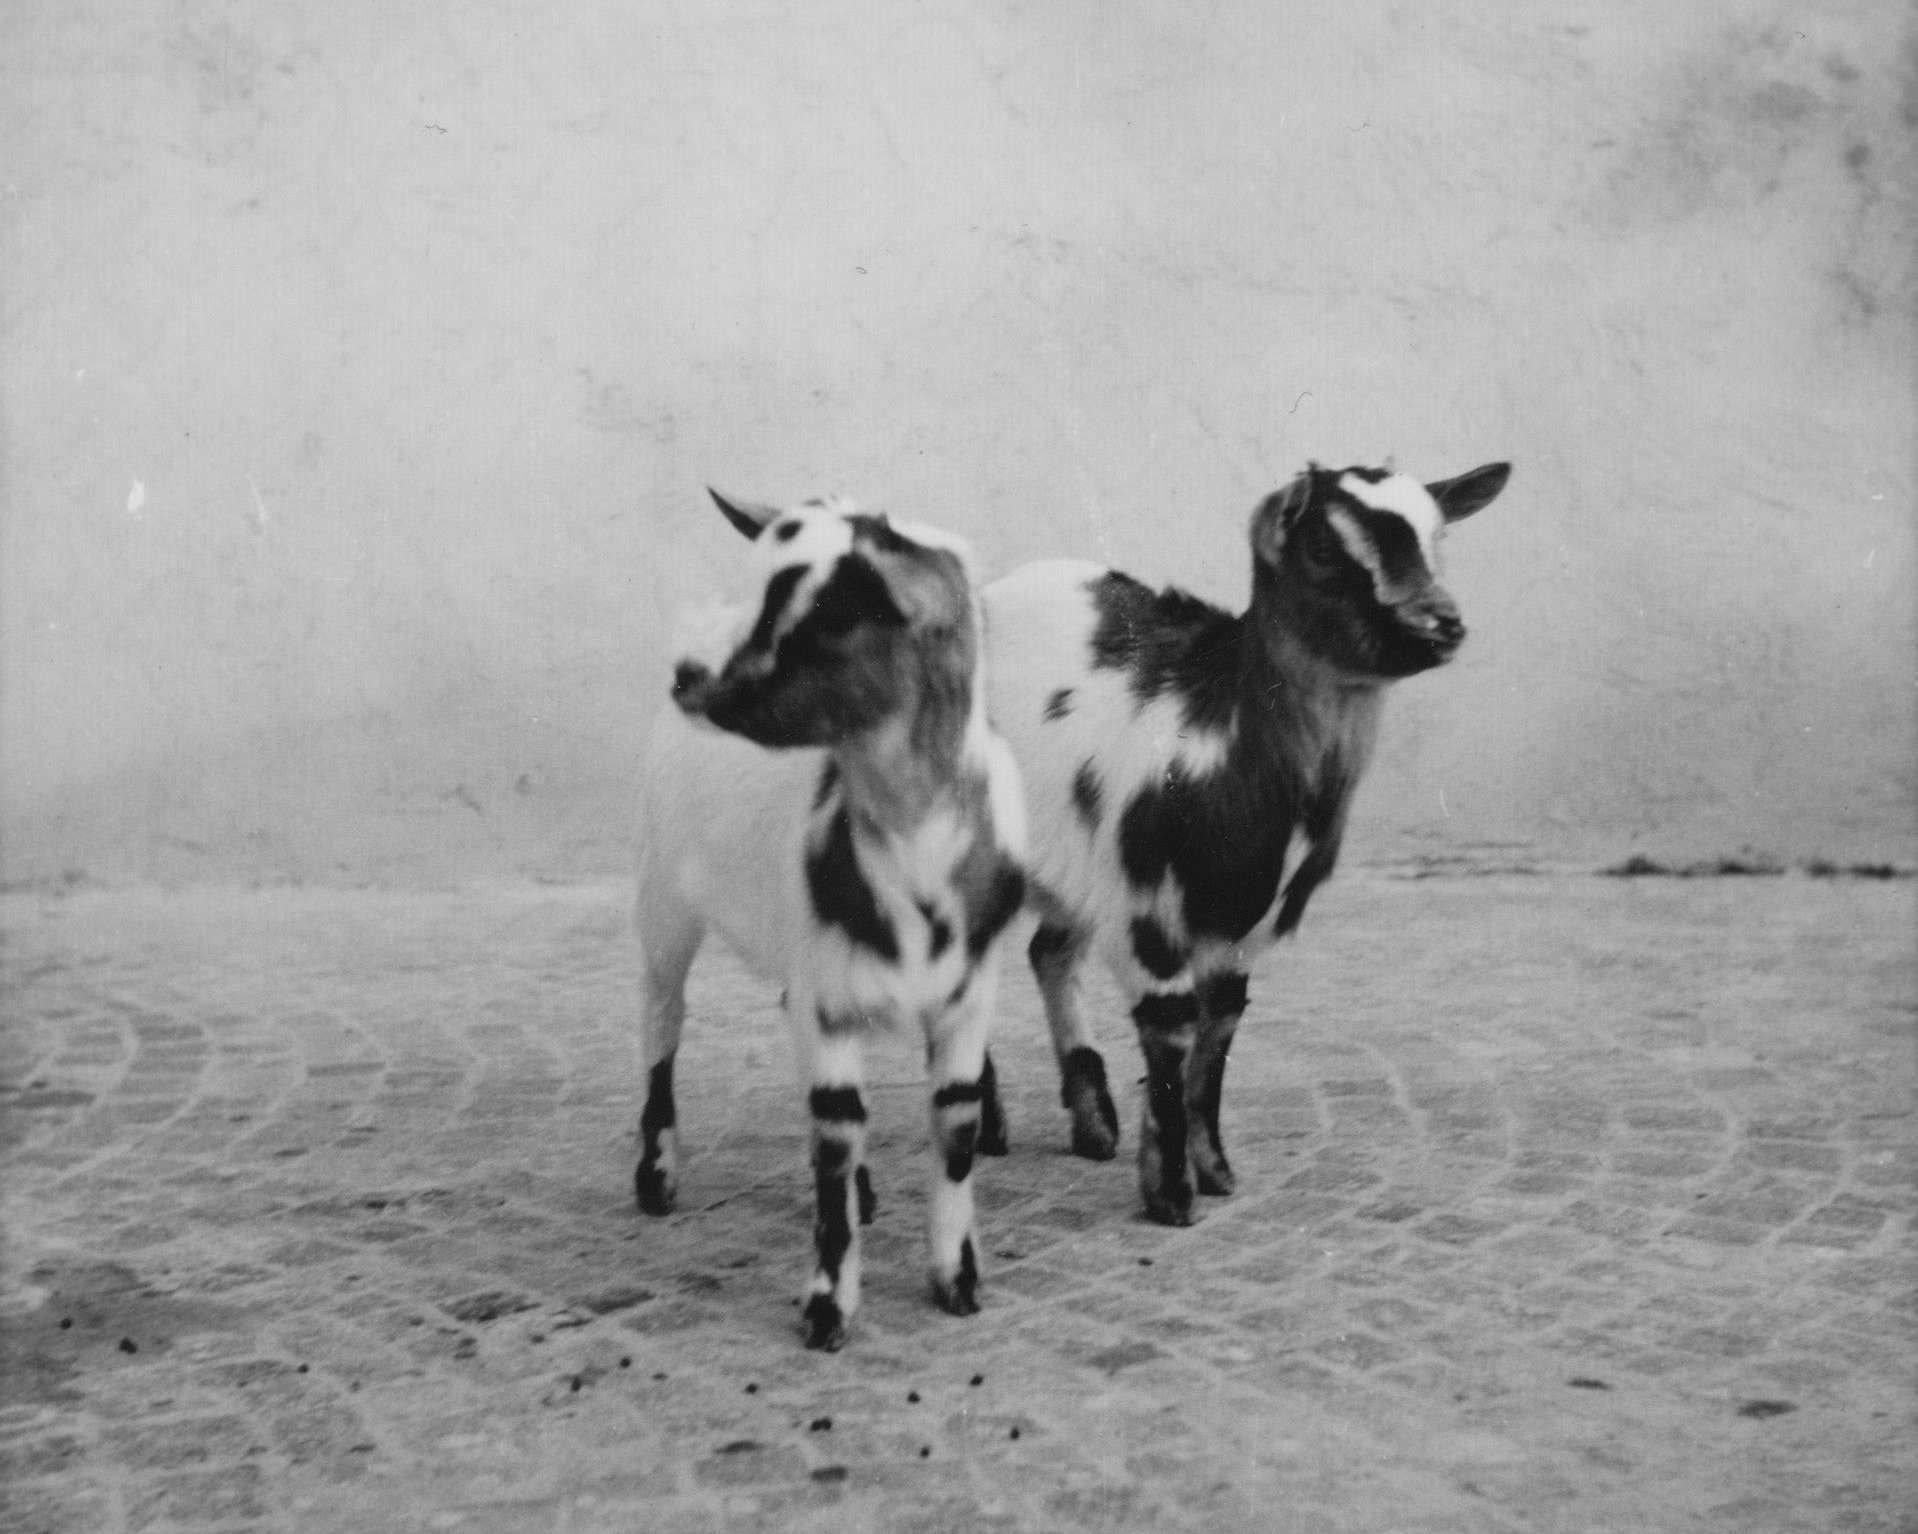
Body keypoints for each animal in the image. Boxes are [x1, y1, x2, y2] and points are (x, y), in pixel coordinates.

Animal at [634, 491, 1026, 1349]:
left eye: (824, 617)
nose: (684, 676)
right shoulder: (829, 995)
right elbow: (835, 1144)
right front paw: (827, 1308)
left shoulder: (967, 999)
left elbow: (954, 1128)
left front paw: (957, 1278)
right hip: (662, 903)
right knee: (660, 1026)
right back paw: (655, 1175)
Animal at [978, 461, 1510, 1224]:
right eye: (1322, 547)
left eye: (1438, 536)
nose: (1442, 622)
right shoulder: (1151, 911)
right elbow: (1171, 1031)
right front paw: (1171, 1195)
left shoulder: (1237, 926)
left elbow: (1218, 1036)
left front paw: (1214, 1171)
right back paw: (984, 1123)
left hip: (1074, 866)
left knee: (1048, 953)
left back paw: (1093, 1124)